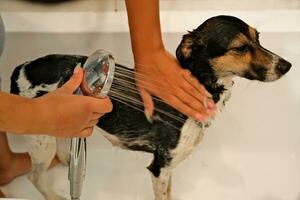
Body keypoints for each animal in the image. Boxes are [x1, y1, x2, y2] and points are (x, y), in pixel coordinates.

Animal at [10, 16, 292, 200]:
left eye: (258, 38)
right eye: (240, 48)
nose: (287, 65)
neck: (202, 85)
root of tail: (21, 68)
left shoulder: (169, 169)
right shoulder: (160, 167)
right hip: (40, 142)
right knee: (33, 176)